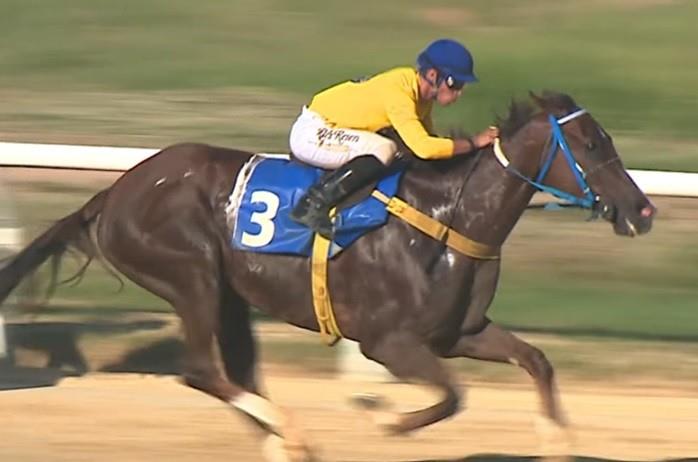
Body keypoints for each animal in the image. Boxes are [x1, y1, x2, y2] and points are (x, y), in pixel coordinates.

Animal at [0, 92, 652, 460]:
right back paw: (293, 436)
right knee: (202, 373)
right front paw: (381, 414)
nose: (643, 210)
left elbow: (535, 361)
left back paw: (286, 442)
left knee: (236, 375)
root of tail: (113, 194)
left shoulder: (458, 334)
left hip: (231, 295)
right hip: (191, 276)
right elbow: (450, 396)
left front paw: (558, 441)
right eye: (593, 144)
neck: (450, 219)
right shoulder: (388, 342)